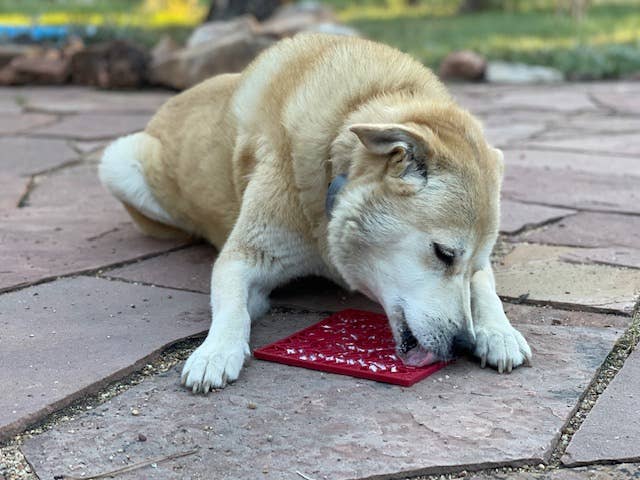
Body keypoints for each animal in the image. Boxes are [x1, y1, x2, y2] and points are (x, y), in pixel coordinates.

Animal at [99, 32, 528, 394]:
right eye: (443, 253)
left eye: (472, 265)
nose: (462, 344)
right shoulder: (242, 256)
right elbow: (232, 307)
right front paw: (216, 351)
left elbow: (486, 290)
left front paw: (499, 332)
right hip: (117, 161)